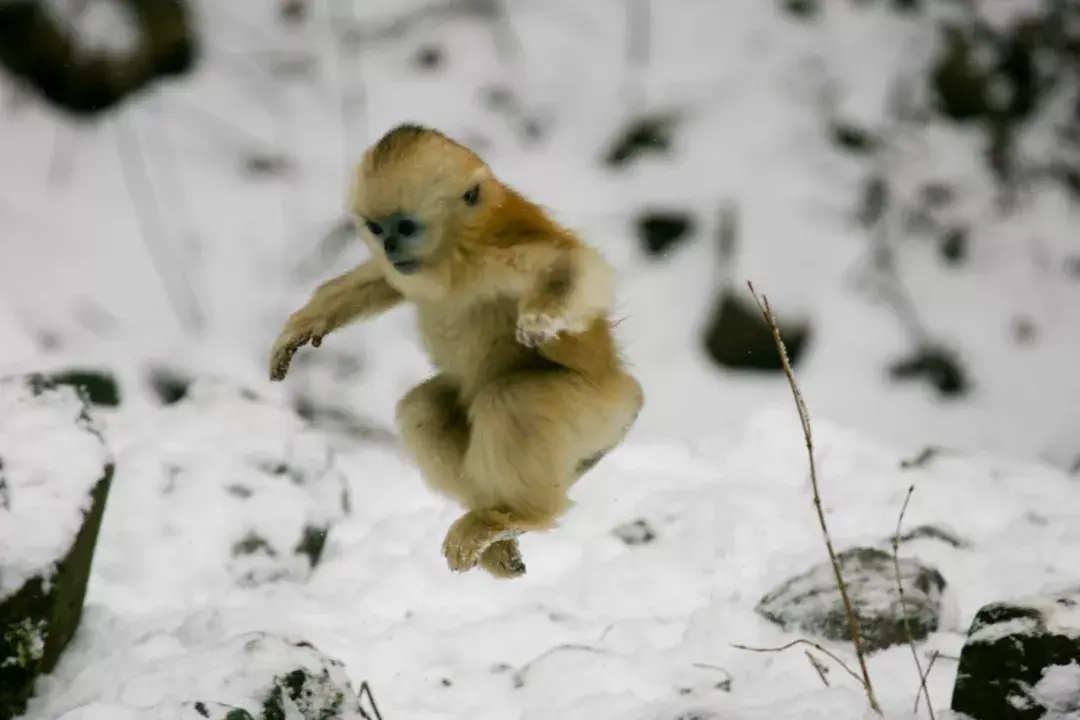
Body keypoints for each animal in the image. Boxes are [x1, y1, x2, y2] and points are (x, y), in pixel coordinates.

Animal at [268, 125, 639, 578]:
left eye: (406, 227)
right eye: (377, 229)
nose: (391, 248)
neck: (452, 258)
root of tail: (627, 391)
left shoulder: (501, 252)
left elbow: (580, 268)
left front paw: (542, 318)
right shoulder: (408, 270)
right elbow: (385, 279)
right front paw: (305, 324)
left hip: (598, 411)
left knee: (510, 399)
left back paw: (520, 515)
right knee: (422, 410)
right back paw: (497, 536)